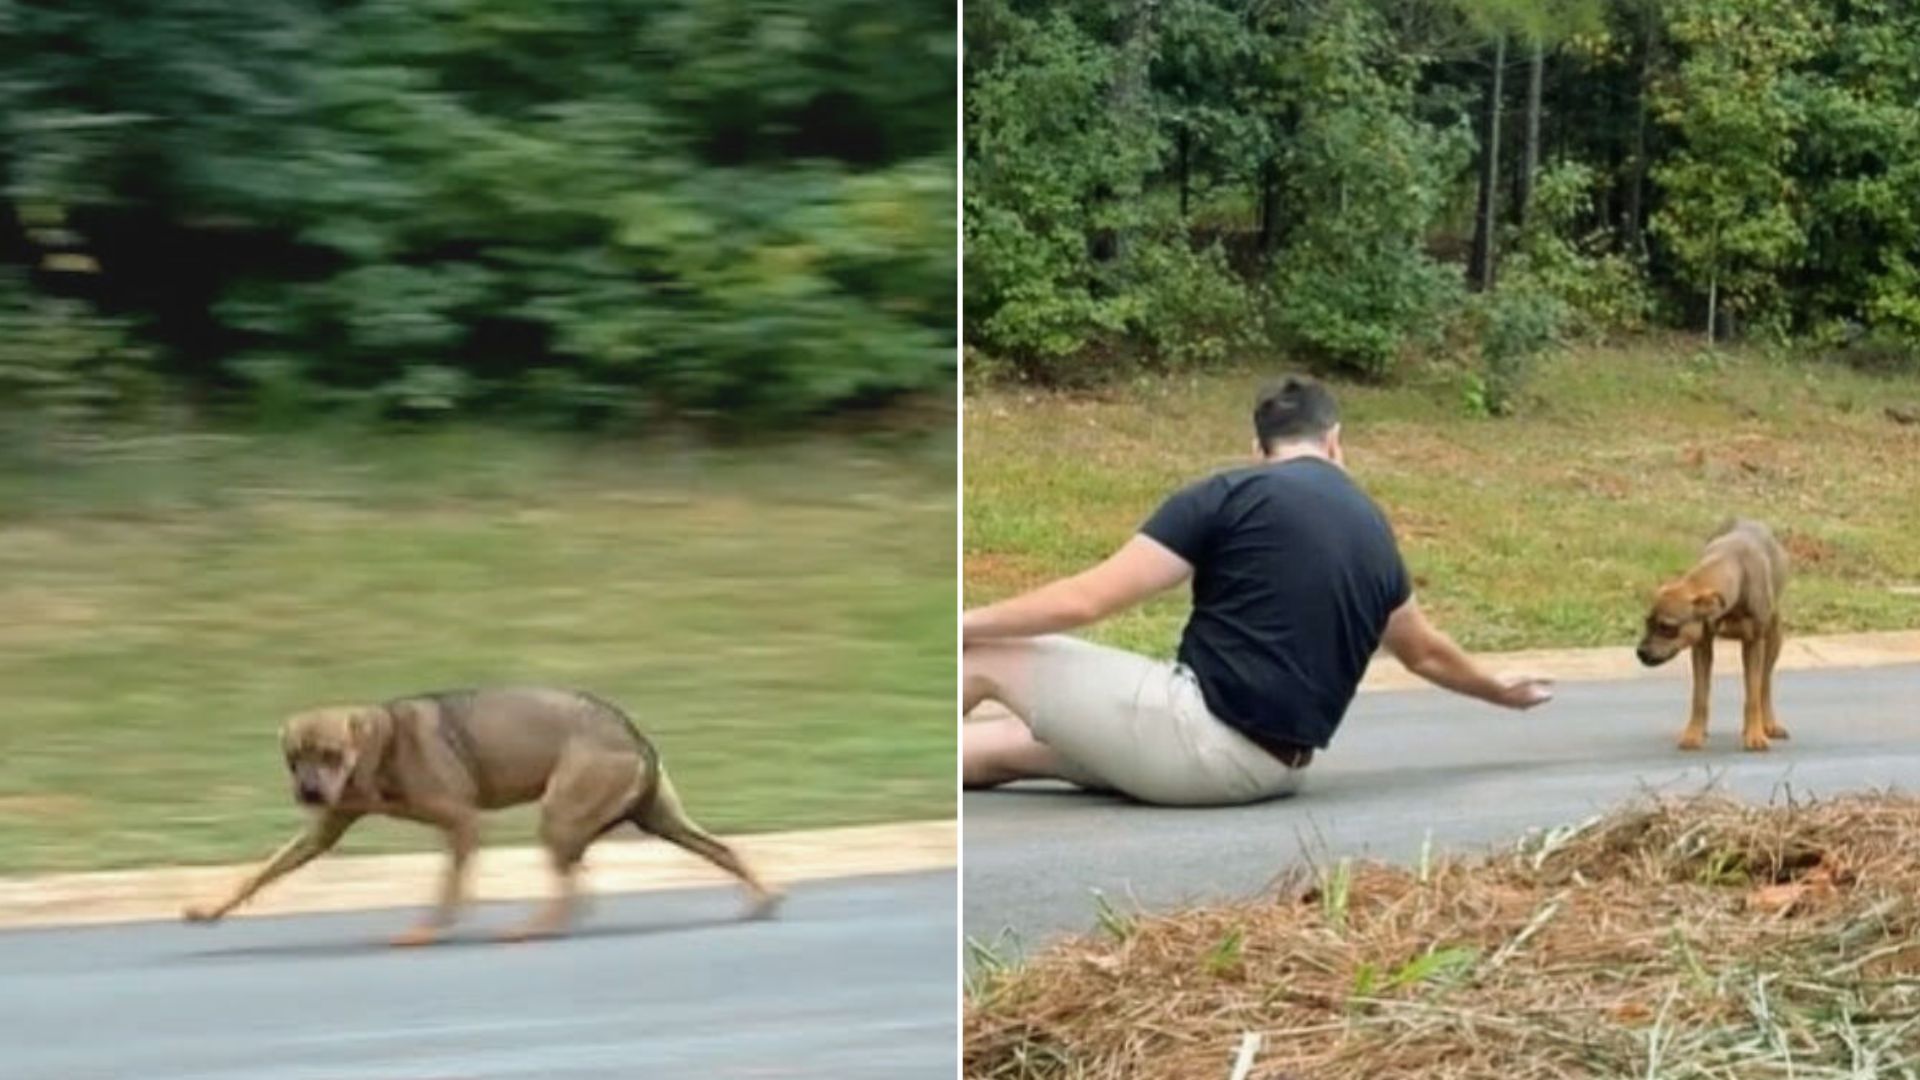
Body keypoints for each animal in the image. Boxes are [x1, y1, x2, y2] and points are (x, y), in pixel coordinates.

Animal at [180, 684, 779, 937]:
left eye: (330, 754)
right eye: (293, 759)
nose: (307, 792)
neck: (380, 747)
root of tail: (636, 735)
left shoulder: (462, 820)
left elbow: (449, 886)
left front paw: (431, 927)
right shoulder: (321, 832)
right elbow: (259, 873)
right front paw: (209, 909)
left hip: (561, 815)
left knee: (570, 884)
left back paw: (536, 927)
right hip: (656, 819)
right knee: (721, 849)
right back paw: (764, 898)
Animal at [1628, 522, 1789, 749]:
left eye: (1667, 627)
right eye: (1647, 623)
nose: (1640, 652)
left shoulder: (1753, 644)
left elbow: (1753, 695)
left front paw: (1755, 735)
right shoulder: (1701, 646)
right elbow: (1699, 696)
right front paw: (1693, 733)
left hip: (1773, 636)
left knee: (1764, 684)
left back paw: (1767, 724)